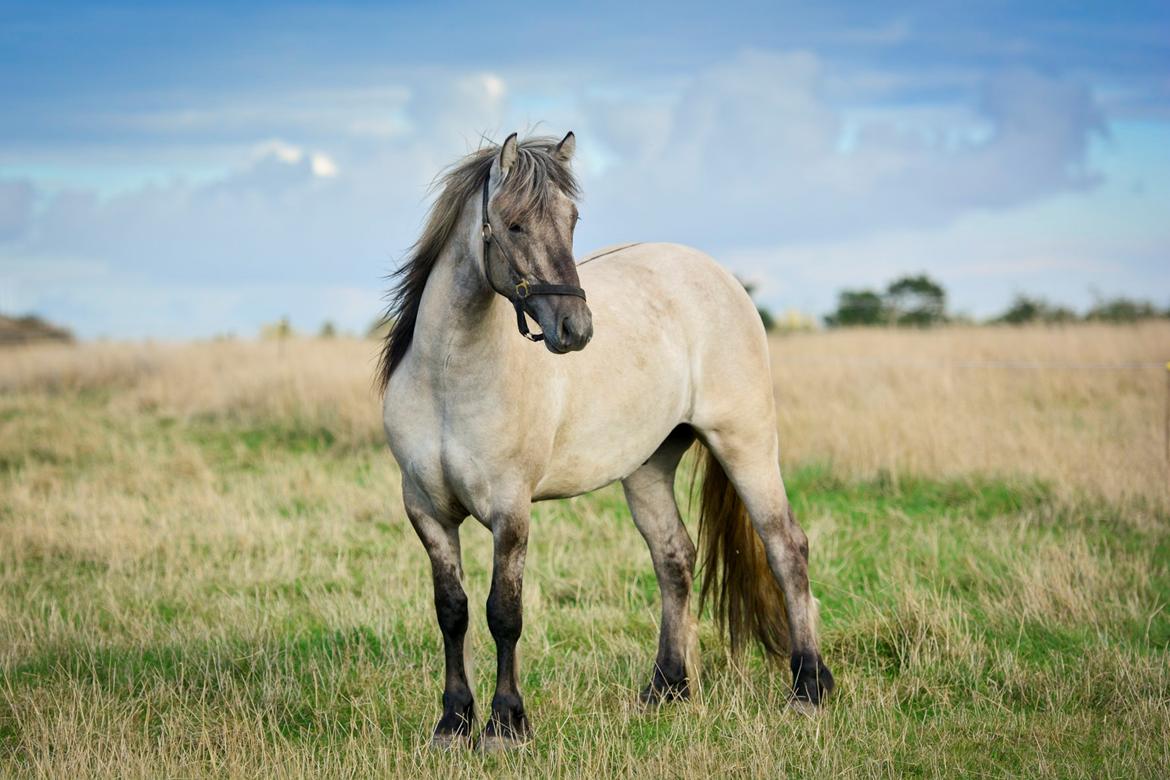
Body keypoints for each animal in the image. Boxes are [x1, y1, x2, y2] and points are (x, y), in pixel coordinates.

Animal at [376, 132, 833, 748]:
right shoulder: (427, 511)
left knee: (786, 548)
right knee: (674, 558)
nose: (576, 329)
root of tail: (720, 277)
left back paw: (808, 689)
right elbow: (453, 612)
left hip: (746, 444)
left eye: (572, 221)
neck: (449, 378)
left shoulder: (510, 511)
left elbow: (504, 613)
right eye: (514, 225)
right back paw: (665, 689)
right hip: (648, 467)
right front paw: (452, 722)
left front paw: (506, 724)